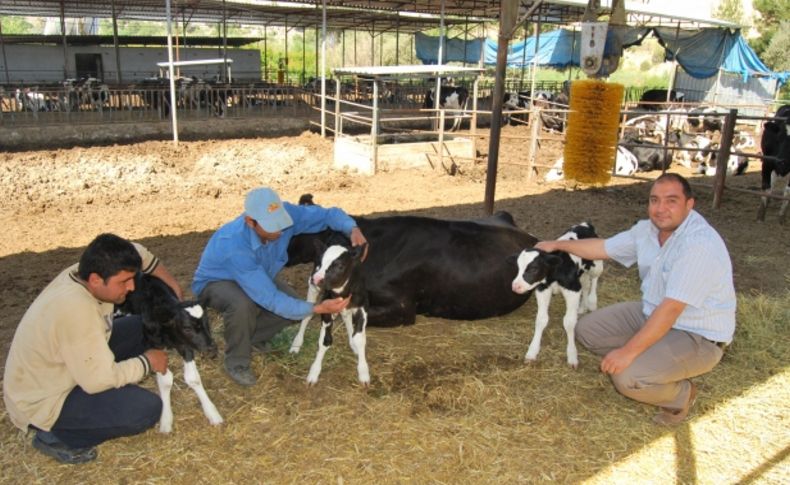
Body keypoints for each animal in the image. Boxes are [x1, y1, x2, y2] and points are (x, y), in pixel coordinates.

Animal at [117, 270, 223, 432]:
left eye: (207, 323)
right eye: (187, 328)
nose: (212, 349)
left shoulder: (184, 344)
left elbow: (193, 378)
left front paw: (212, 412)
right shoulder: (152, 344)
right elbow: (166, 380)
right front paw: (166, 421)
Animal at [510, 222, 604, 366]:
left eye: (534, 268)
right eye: (518, 267)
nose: (515, 287)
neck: (554, 275)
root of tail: (584, 225)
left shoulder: (572, 289)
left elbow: (569, 322)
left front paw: (572, 354)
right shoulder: (543, 289)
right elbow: (541, 319)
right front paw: (532, 351)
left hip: (596, 265)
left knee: (594, 280)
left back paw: (592, 303)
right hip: (581, 275)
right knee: (585, 285)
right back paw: (582, 307)